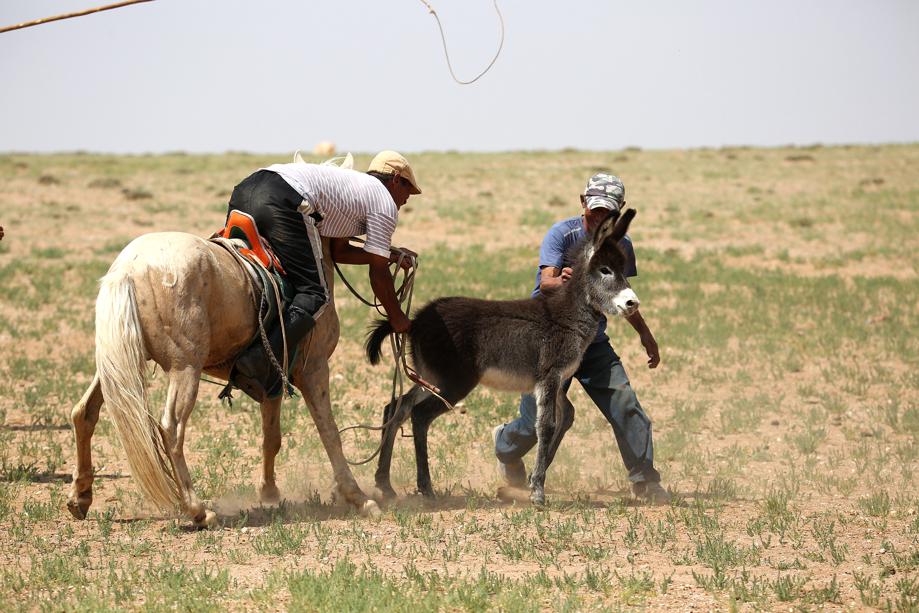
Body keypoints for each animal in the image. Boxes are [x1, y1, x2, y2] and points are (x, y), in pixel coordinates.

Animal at [66, 231, 380, 524]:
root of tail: (128, 269)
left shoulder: (272, 379)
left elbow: (272, 437)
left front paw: (269, 492)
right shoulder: (314, 369)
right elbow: (330, 433)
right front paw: (358, 497)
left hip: (117, 364)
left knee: (84, 412)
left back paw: (80, 497)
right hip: (185, 367)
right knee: (171, 429)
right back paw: (198, 511)